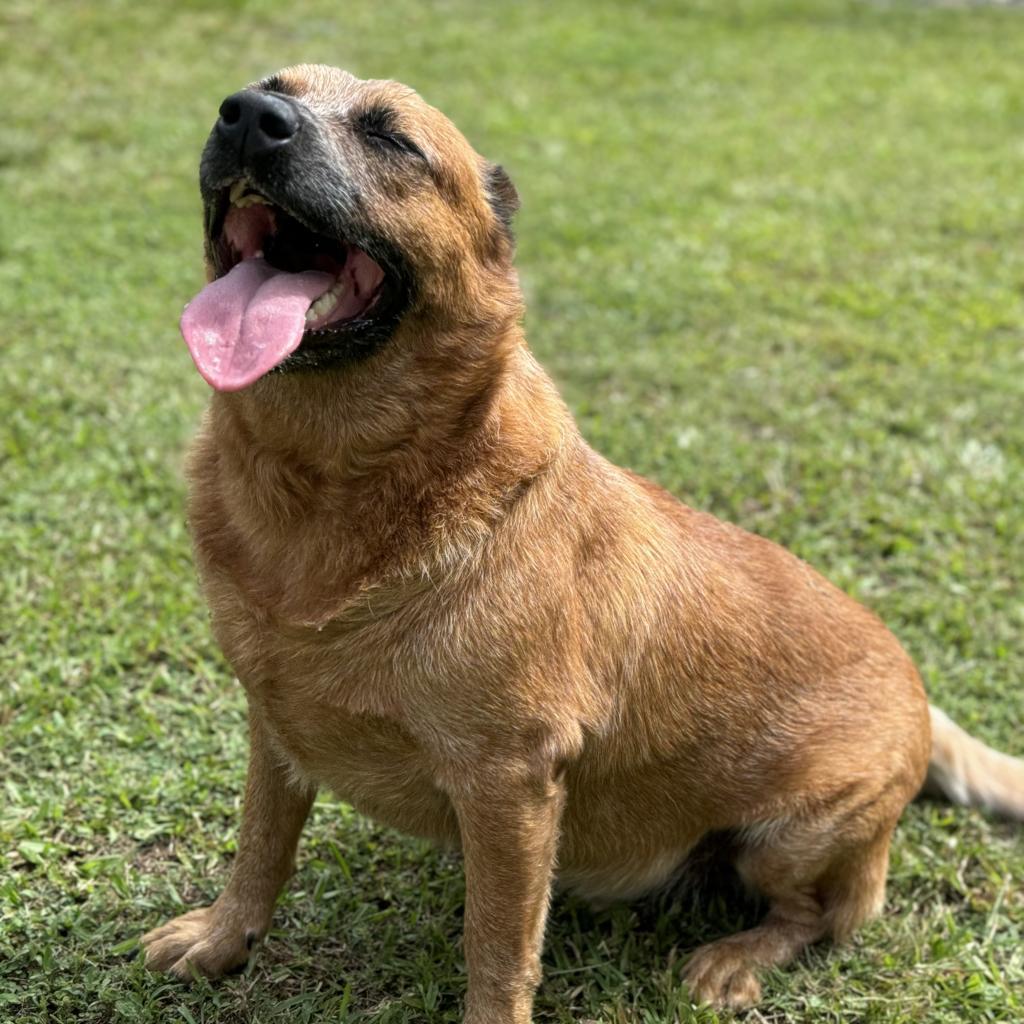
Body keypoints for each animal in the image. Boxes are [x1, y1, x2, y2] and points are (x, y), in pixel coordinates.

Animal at [144, 66, 1024, 1024]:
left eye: (391, 138)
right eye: (270, 88)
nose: (248, 118)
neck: (323, 494)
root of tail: (922, 699)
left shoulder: (509, 783)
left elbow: (495, 948)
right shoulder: (273, 726)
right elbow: (261, 847)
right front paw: (225, 938)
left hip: (789, 836)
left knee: (818, 918)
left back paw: (735, 958)